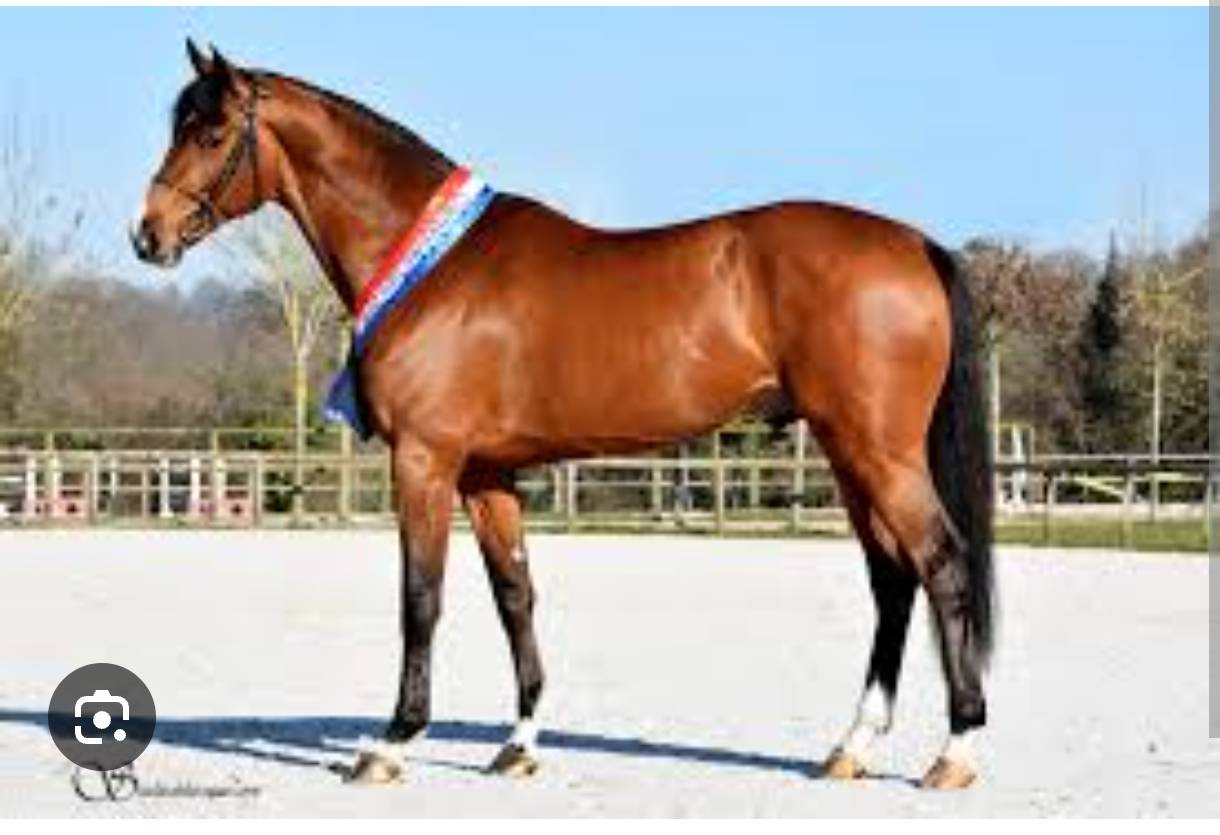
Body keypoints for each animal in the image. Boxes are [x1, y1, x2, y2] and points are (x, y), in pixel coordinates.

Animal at [133, 41, 995, 790]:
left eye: (211, 132)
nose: (148, 234)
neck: (431, 265)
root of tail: (915, 244)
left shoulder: (425, 460)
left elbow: (421, 597)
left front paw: (393, 741)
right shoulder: (486, 473)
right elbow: (514, 593)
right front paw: (519, 744)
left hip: (878, 450)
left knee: (941, 564)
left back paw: (954, 751)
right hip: (850, 453)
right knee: (892, 578)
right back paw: (850, 746)